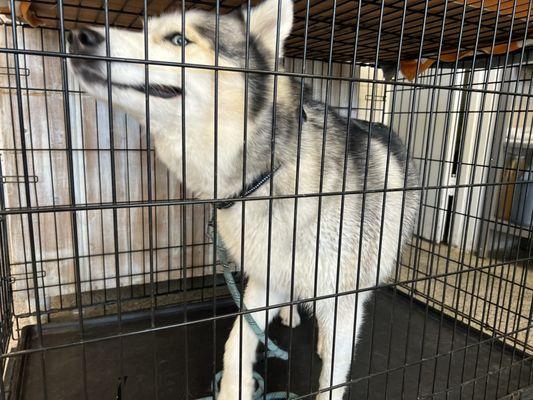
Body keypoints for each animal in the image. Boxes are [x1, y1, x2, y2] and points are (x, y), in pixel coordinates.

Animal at [68, 1, 420, 398]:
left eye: (179, 39)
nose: (79, 36)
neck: (267, 175)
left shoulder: (341, 295)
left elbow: (333, 373)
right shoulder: (263, 281)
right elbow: (237, 342)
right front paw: (233, 389)